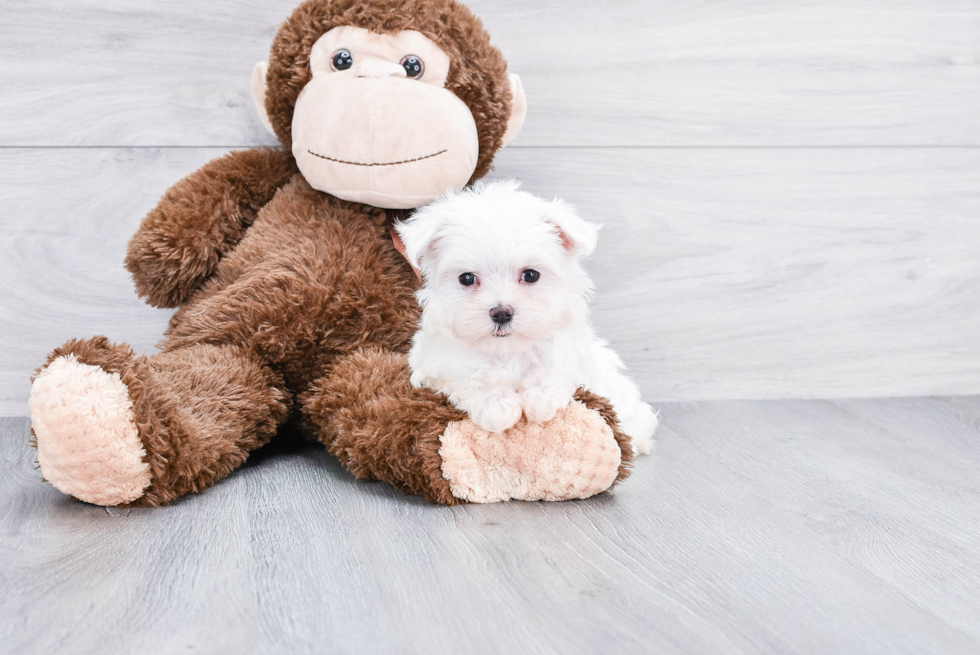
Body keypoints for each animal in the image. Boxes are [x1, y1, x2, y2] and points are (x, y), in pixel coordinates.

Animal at [398, 179, 660, 456]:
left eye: (531, 275)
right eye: (467, 278)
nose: (501, 312)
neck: (507, 352)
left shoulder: (573, 354)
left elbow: (557, 368)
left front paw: (540, 398)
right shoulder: (435, 366)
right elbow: (469, 378)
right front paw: (497, 405)